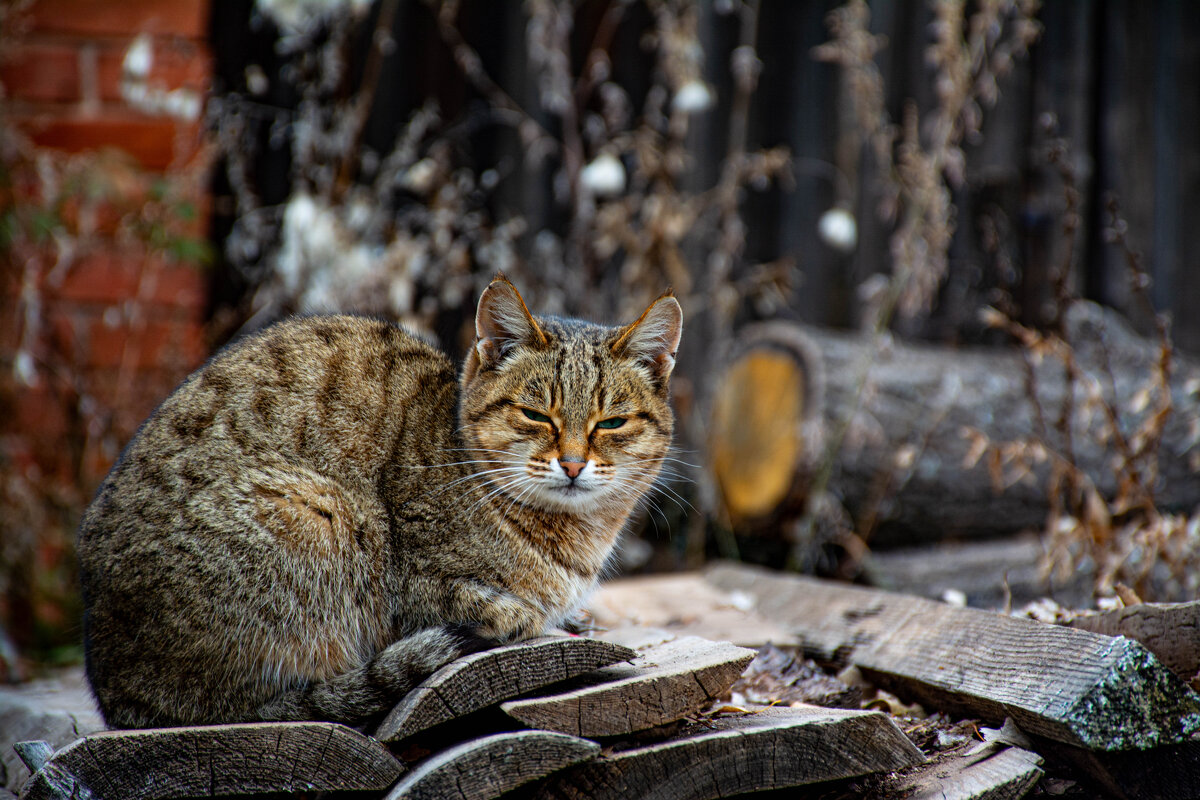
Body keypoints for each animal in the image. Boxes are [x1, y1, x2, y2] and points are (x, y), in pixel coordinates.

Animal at [79, 277, 681, 734]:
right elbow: (500, 608)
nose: (574, 464)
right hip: (317, 513)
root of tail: (114, 692)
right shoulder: (413, 586)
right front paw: (535, 617)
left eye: (611, 422)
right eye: (536, 415)